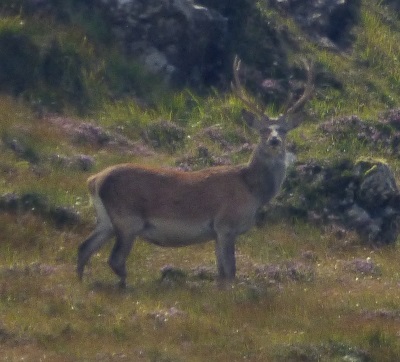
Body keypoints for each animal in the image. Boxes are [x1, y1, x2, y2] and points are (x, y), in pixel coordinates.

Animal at [77, 56, 316, 288]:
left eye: (283, 130)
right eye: (263, 130)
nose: (274, 140)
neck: (252, 191)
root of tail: (94, 180)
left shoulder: (216, 233)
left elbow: (221, 273)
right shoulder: (226, 225)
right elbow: (230, 271)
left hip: (106, 220)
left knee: (84, 248)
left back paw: (80, 282)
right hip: (127, 219)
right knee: (115, 259)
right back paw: (123, 287)